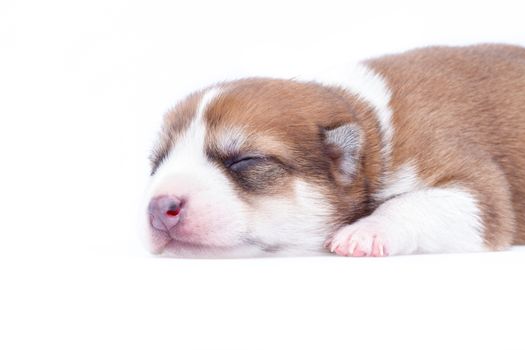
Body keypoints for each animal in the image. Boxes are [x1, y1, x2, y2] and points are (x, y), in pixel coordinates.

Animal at [141, 43, 524, 258]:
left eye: (246, 160)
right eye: (157, 164)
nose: (160, 208)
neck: (371, 130)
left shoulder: (474, 185)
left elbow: (433, 202)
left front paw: (366, 231)